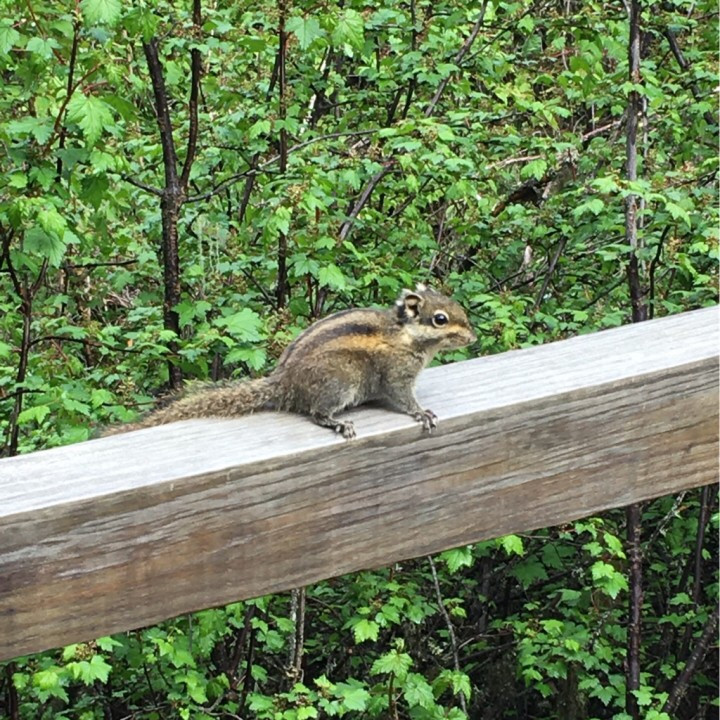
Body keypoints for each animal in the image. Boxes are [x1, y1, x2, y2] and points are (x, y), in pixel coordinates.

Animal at [109, 284, 476, 439]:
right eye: (440, 319)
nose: (472, 338)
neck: (406, 334)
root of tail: (285, 381)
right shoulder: (396, 374)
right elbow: (403, 397)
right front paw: (420, 413)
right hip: (339, 384)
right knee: (315, 413)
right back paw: (336, 423)